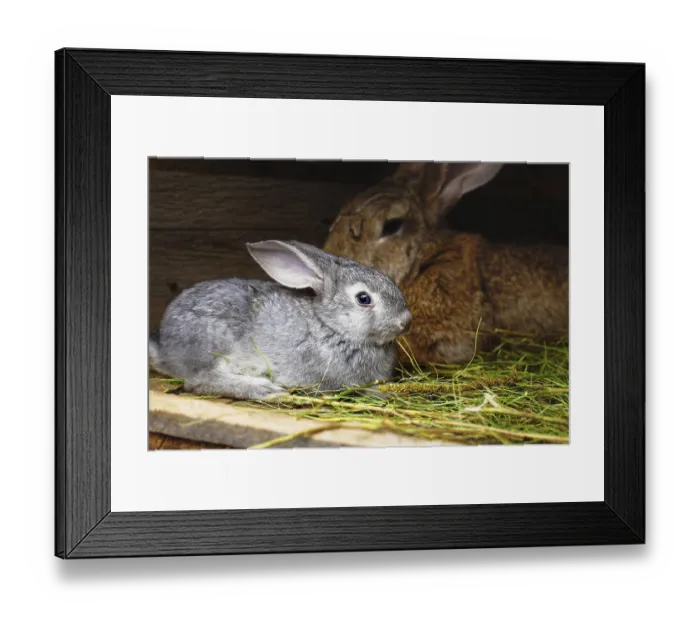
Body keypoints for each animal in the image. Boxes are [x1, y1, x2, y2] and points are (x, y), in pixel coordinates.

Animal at [148, 240, 413, 400]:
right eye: (363, 299)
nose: (406, 321)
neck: (332, 326)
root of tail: (166, 349)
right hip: (212, 343)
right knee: (199, 381)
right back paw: (263, 388)